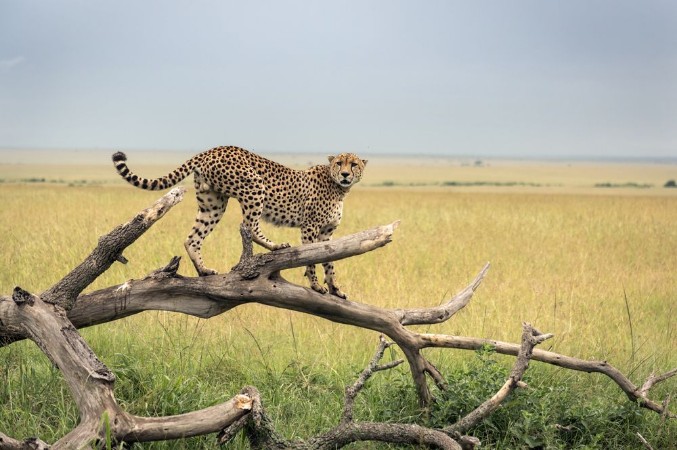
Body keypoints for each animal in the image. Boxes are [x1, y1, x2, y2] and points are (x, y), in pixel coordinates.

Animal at [112, 146, 367, 299]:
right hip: (254, 187)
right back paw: (275, 245)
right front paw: (316, 285)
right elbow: (313, 259)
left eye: (353, 164)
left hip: (212, 203)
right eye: (339, 163)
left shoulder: (327, 233)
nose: (345, 174)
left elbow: (329, 262)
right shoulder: (311, 228)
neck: (338, 187)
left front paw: (335, 288)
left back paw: (203, 270)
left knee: (193, 238)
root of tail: (214, 148)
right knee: (249, 227)